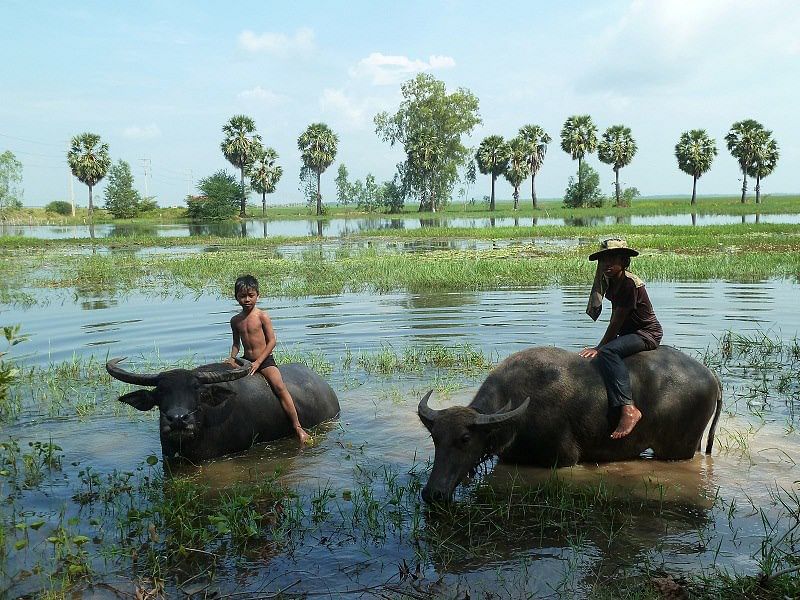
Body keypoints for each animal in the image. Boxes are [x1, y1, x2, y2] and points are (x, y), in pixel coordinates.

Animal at [416, 344, 720, 504]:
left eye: (465, 439)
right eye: (435, 438)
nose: (433, 493)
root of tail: (710, 375)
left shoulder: (563, 459)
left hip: (677, 450)